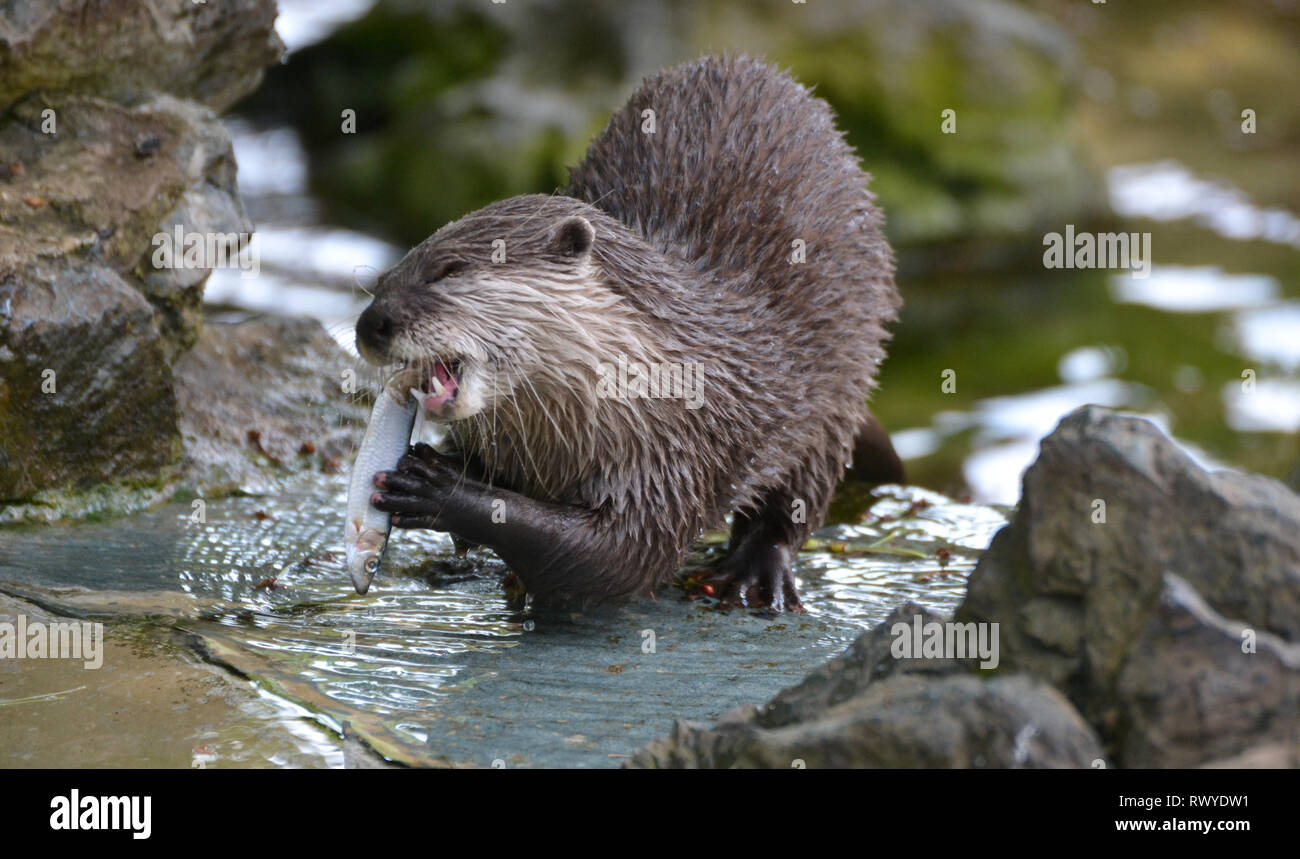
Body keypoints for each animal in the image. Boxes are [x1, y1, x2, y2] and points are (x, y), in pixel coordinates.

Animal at [356, 55, 904, 610]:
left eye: (447, 270)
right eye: (384, 278)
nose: (369, 325)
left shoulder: (680, 458)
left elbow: (613, 559)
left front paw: (438, 487)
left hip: (840, 390)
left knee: (797, 497)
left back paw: (753, 574)